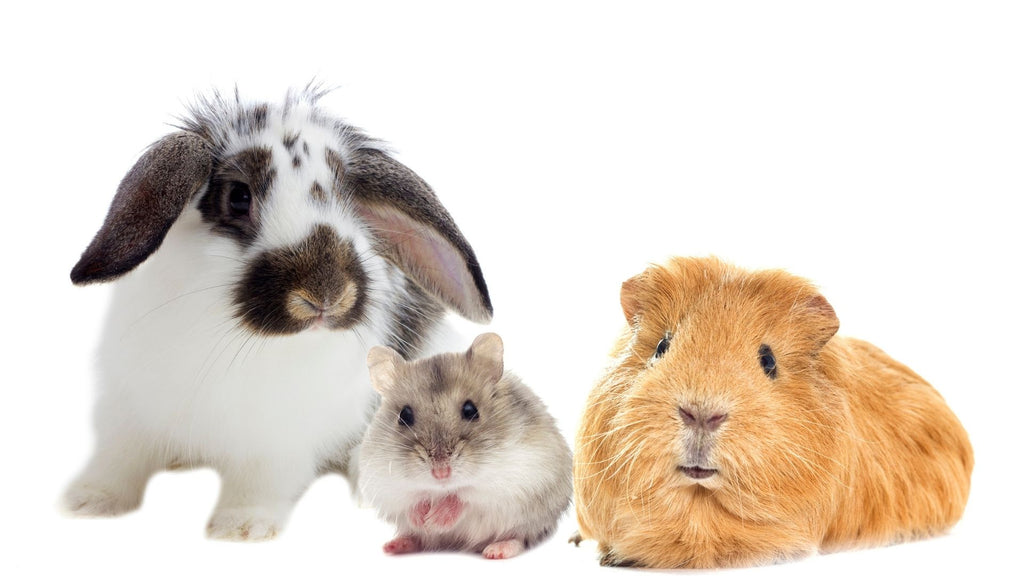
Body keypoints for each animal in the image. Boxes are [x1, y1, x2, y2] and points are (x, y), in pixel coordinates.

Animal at [61, 85, 493, 537]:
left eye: (348, 200)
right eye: (238, 196)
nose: (326, 294)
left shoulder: (277, 437)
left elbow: (260, 478)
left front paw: (242, 525)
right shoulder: (132, 407)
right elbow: (118, 458)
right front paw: (89, 502)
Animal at [356, 332, 573, 557]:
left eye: (470, 410)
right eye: (404, 416)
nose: (441, 473)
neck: (441, 489)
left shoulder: (517, 475)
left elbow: (465, 495)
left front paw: (434, 519)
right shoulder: (384, 483)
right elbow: (412, 499)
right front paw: (423, 520)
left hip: (530, 520)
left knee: (520, 537)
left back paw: (496, 551)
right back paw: (393, 546)